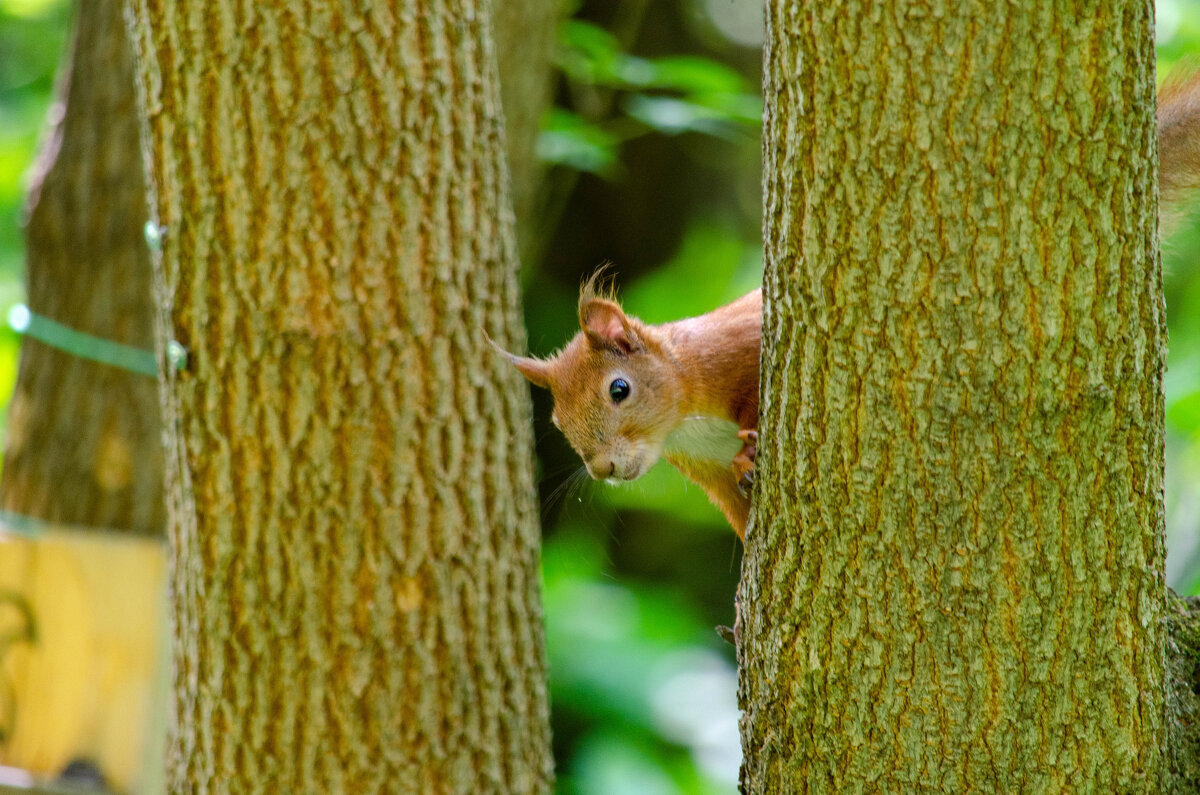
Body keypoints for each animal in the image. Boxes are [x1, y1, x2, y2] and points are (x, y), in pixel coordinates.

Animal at [499, 71, 1200, 542]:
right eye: (558, 422)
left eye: (619, 389)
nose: (606, 469)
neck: (686, 413)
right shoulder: (705, 471)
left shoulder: (738, 353)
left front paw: (753, 448)